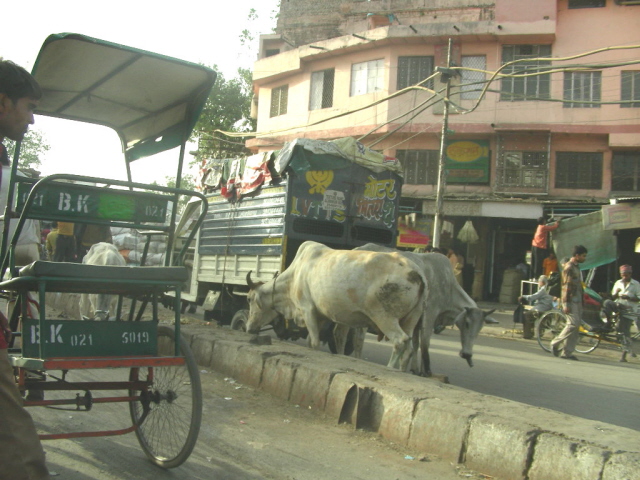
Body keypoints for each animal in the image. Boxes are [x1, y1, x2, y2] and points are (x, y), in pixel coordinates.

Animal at [248, 240, 428, 372]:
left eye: (249, 299)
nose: (249, 327)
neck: (293, 276)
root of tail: (416, 272)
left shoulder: (307, 310)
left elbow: (314, 342)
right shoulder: (320, 316)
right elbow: (311, 342)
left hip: (383, 316)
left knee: (400, 340)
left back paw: (390, 368)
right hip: (410, 319)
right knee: (409, 348)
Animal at [356, 246, 496, 376]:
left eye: (480, 328)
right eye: (467, 323)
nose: (467, 354)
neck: (449, 289)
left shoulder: (416, 322)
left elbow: (415, 344)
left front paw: (415, 369)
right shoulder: (429, 315)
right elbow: (425, 344)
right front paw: (426, 371)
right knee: (360, 337)